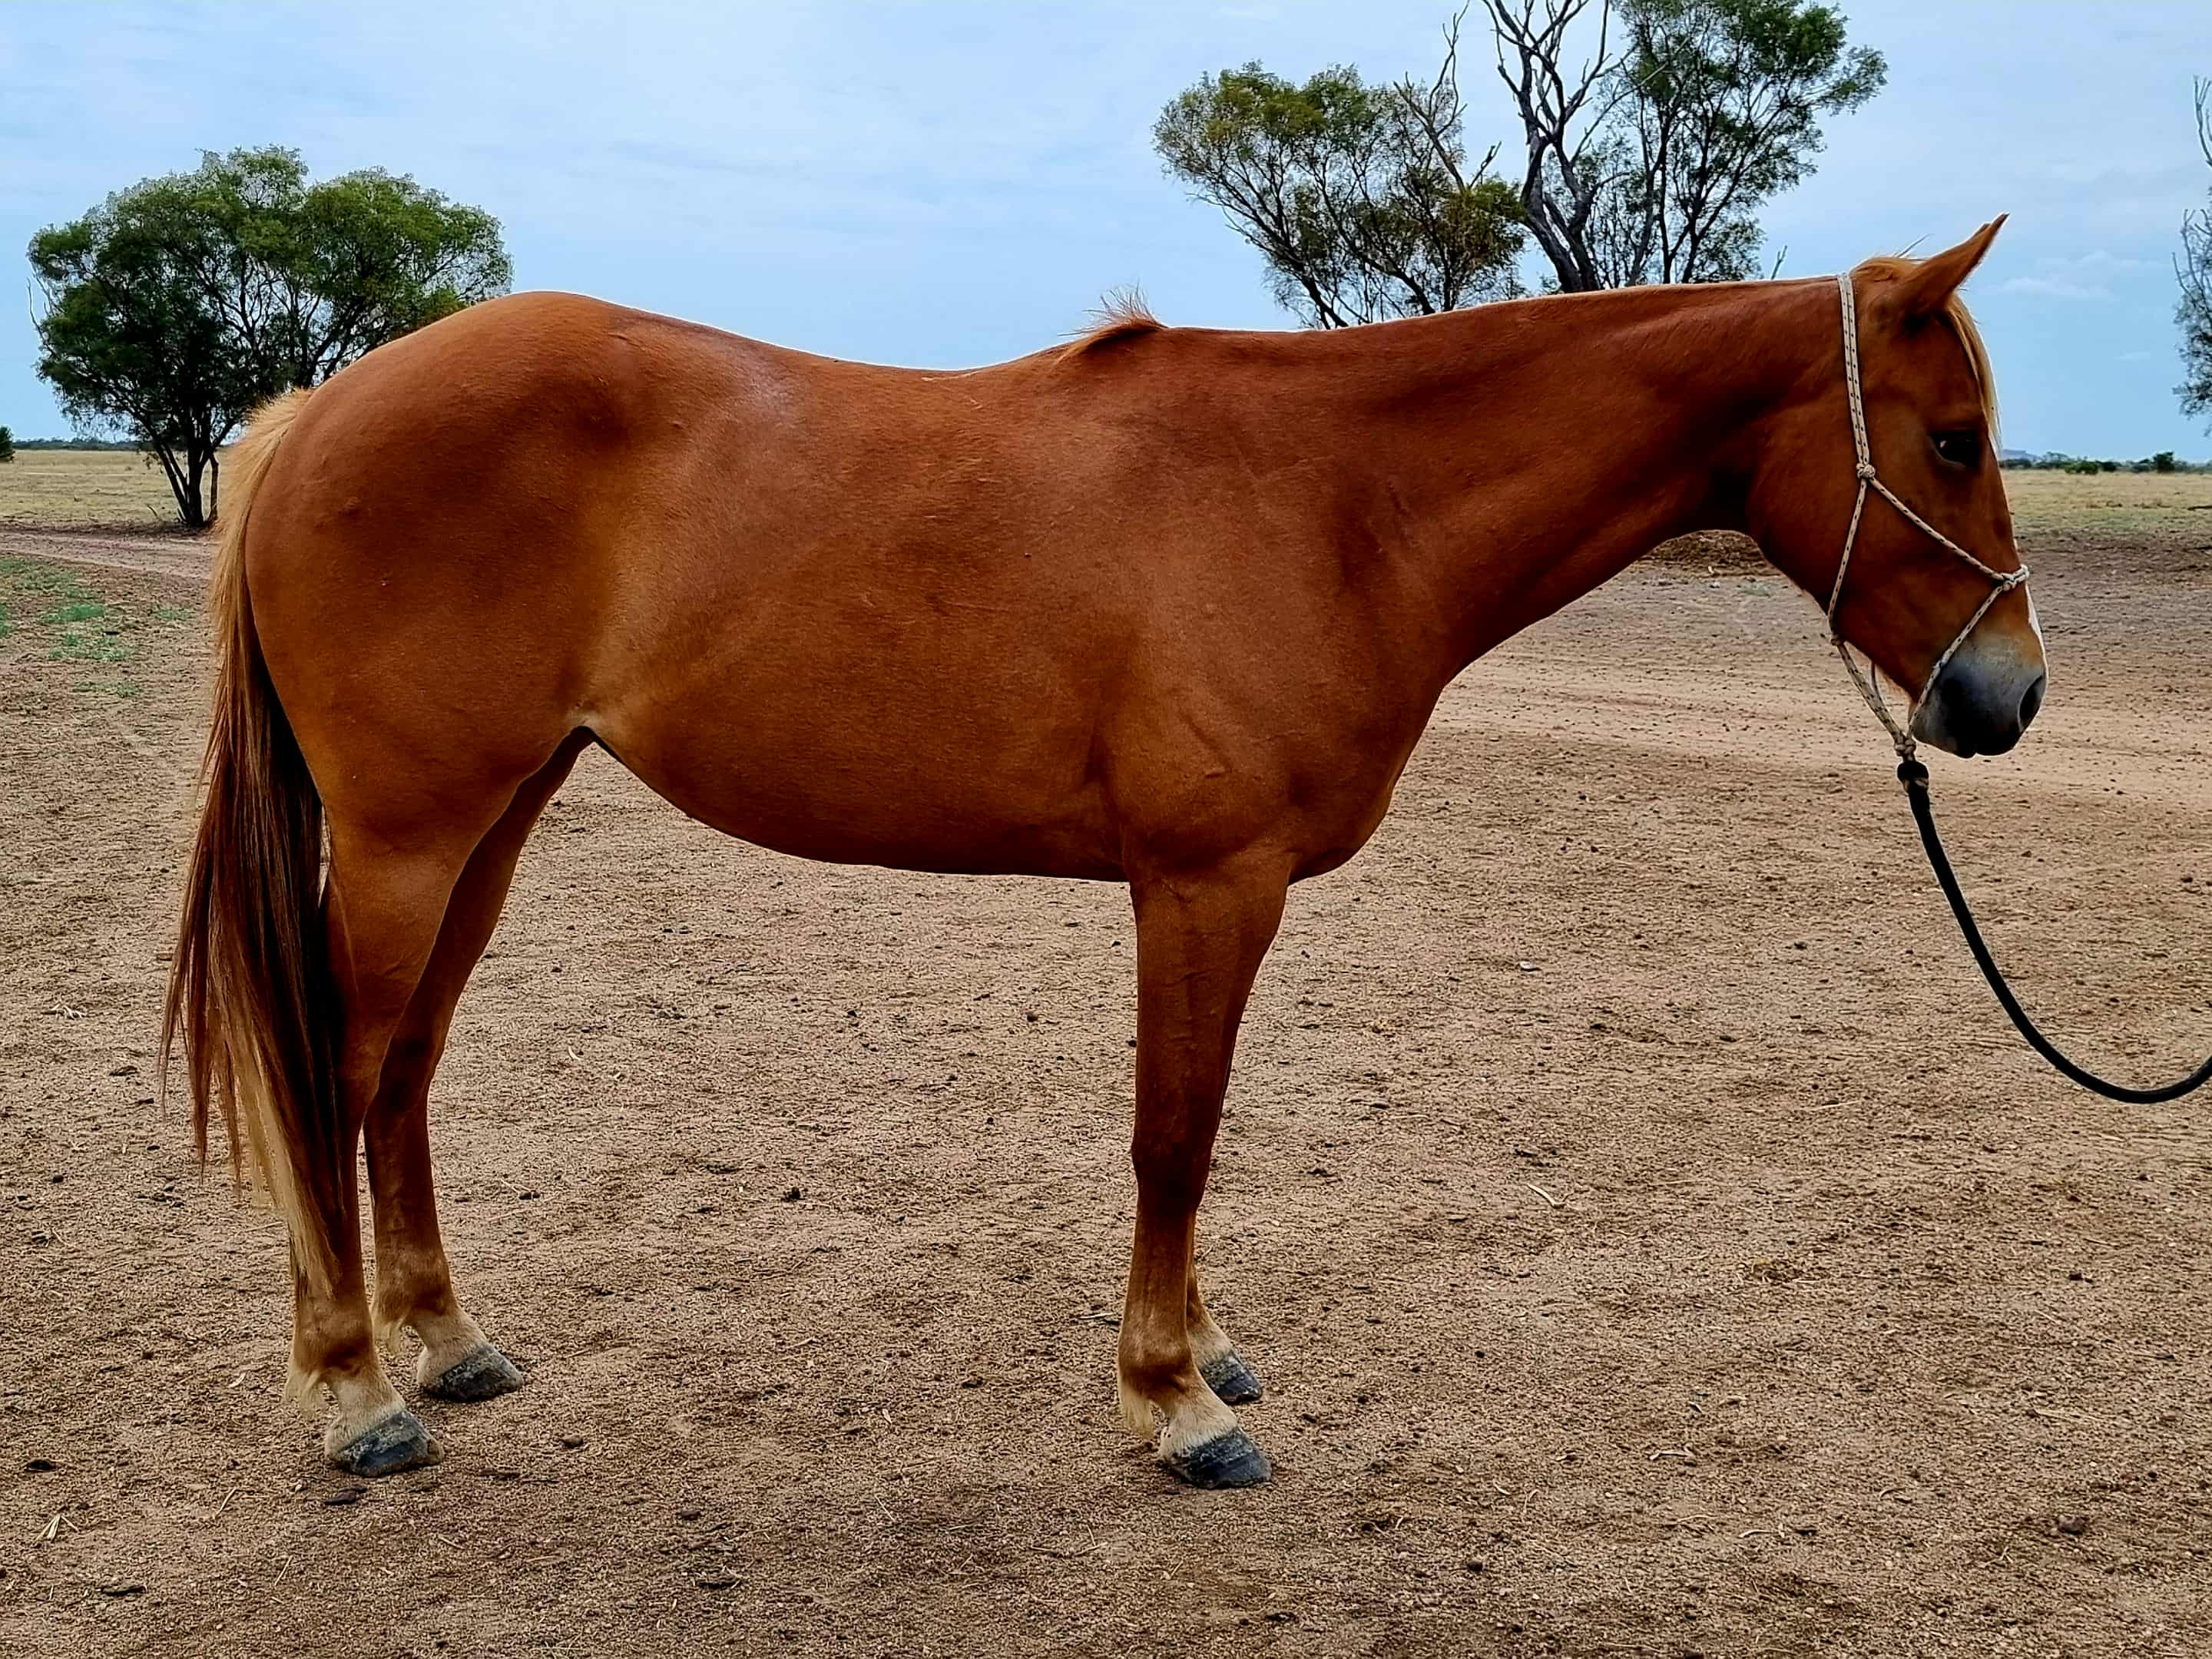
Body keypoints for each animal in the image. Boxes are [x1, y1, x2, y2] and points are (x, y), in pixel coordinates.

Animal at [165, 220, 2043, 1489]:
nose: (2007, 695)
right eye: (1952, 439)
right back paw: (355, 1393)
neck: (1333, 501)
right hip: (408, 839)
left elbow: (1193, 1135)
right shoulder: (1207, 883)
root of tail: (314, 418)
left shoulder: (1218, 893)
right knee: (340, 1077)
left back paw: (446, 1344)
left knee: (404, 1076)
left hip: (493, 821)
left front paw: (1204, 1355)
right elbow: (1174, 1137)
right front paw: (1175, 1402)